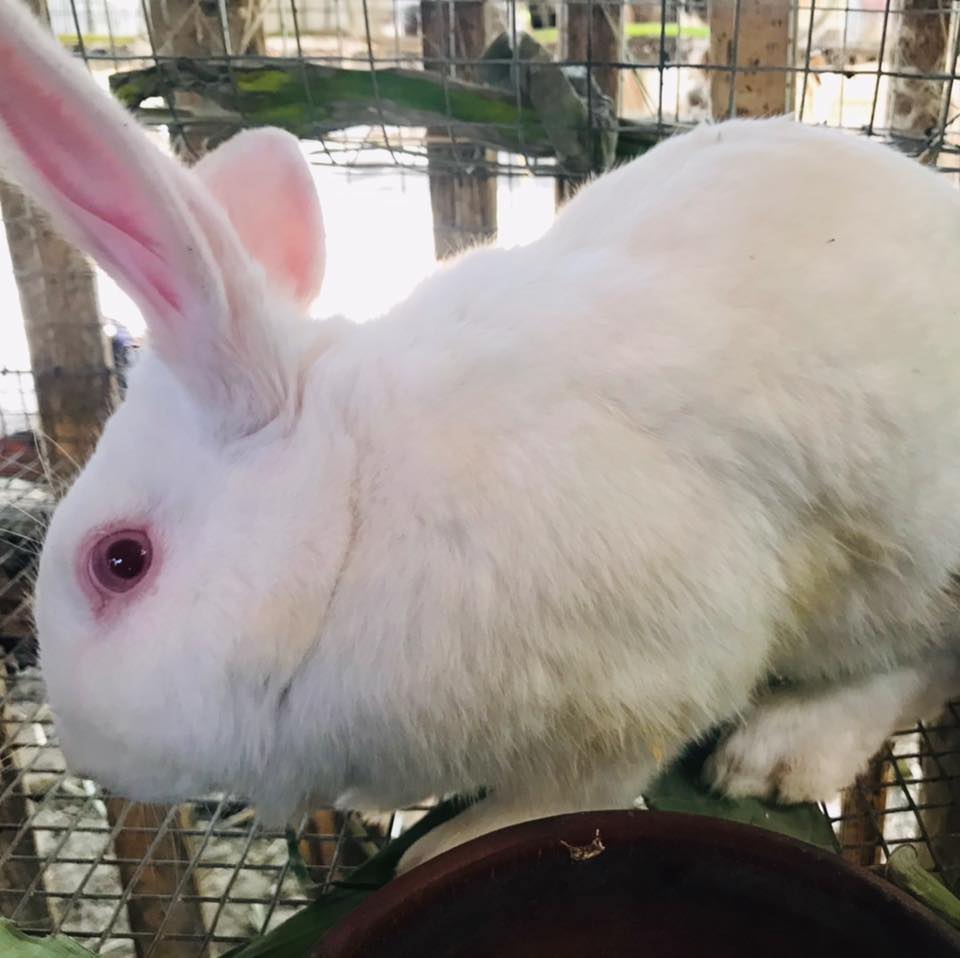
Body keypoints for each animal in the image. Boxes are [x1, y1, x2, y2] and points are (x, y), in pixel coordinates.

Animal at [4, 0, 960, 874]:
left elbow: (574, 790)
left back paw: (777, 753)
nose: (82, 745)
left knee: (917, 667)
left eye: (121, 561)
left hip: (907, 568)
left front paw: (439, 847)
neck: (350, 518)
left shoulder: (647, 682)